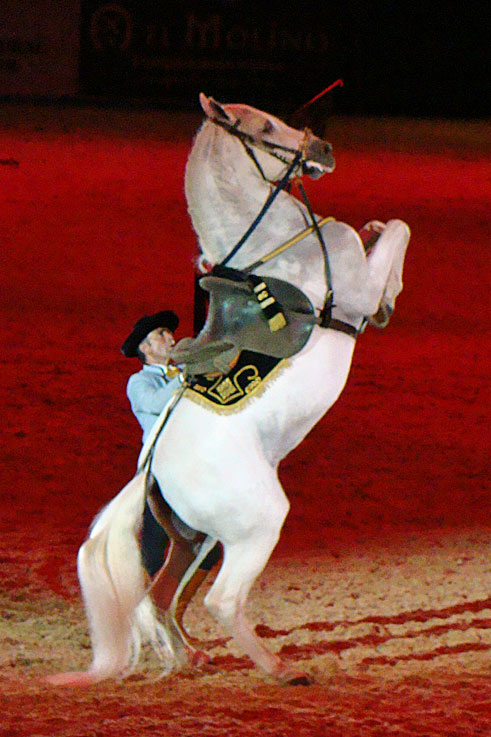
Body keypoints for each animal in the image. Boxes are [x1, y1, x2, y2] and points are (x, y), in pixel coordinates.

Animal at [48, 93, 410, 687]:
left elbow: (387, 228)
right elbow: (399, 230)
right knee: (218, 600)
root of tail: (150, 469)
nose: (322, 147)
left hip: (196, 537)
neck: (274, 248)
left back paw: (191, 657)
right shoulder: (355, 286)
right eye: (263, 125)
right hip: (256, 524)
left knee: (159, 595)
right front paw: (388, 298)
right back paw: (280, 668)